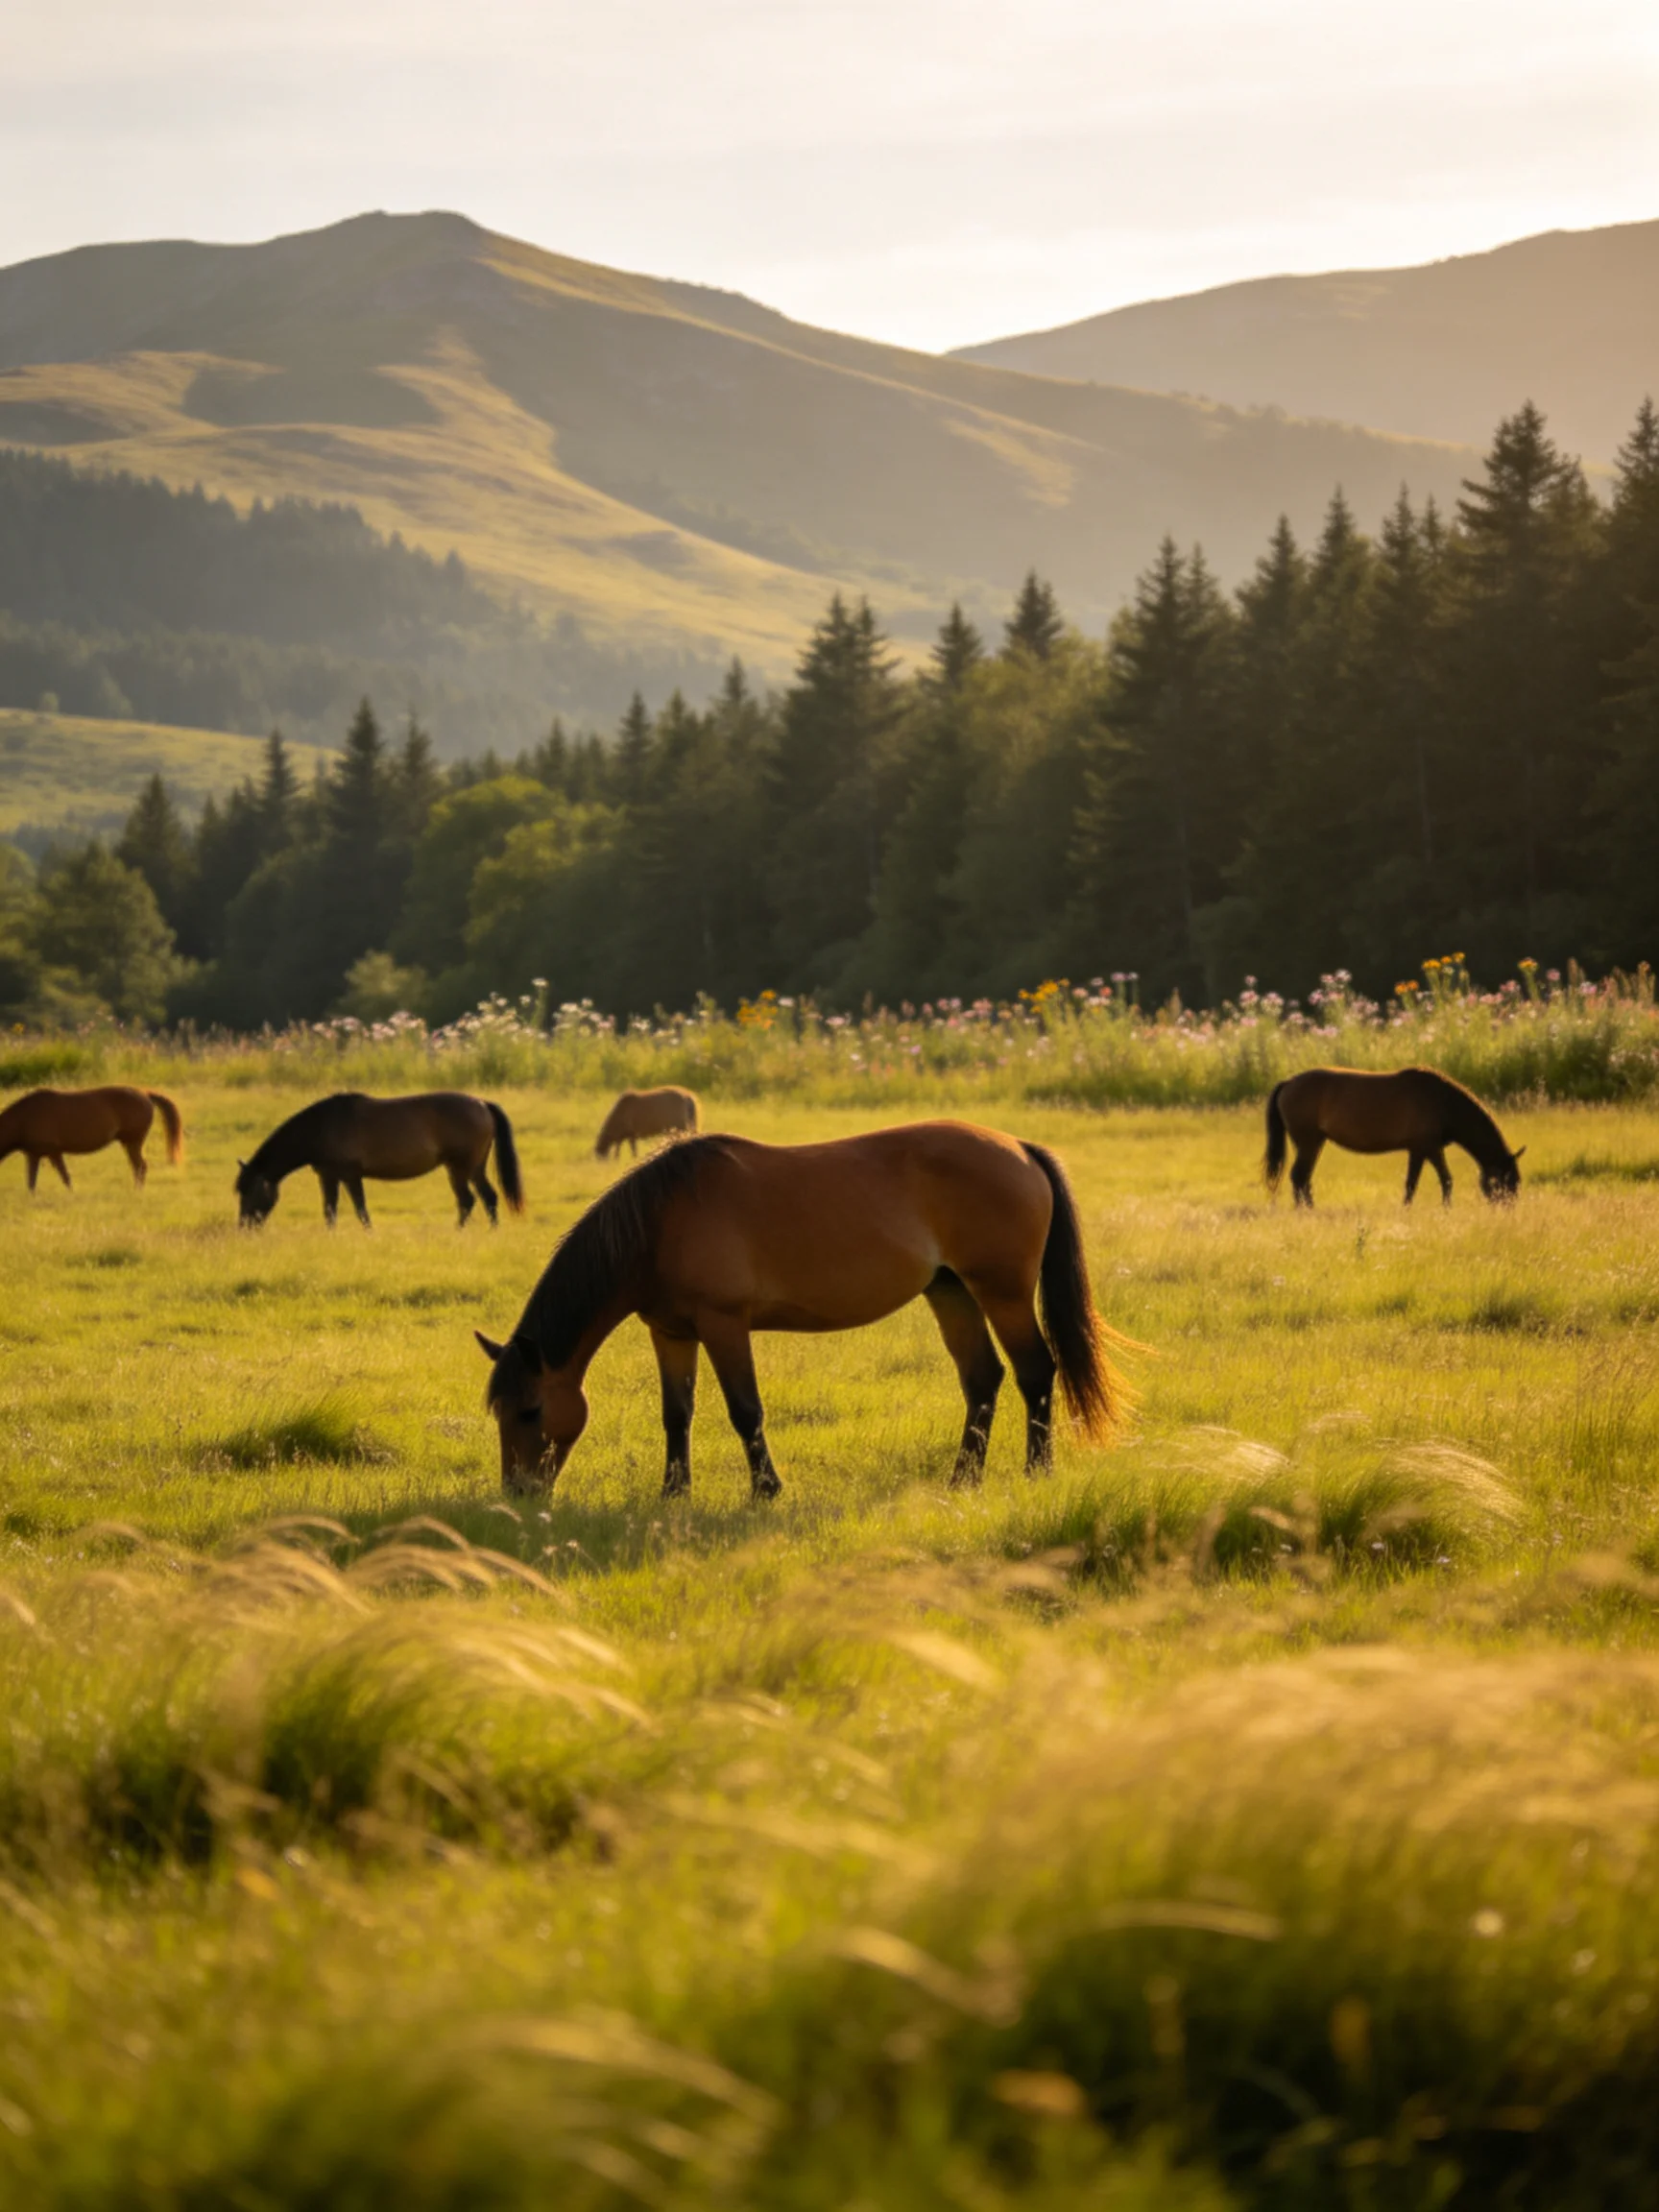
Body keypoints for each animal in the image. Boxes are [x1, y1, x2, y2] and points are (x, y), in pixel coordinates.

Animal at [0, 1085, 183, 1191]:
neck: (24, 1116)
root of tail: (145, 1094)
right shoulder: (35, 1154)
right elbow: (32, 1181)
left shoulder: (53, 1152)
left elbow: (65, 1177)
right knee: (138, 1166)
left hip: (133, 1142)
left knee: (140, 1166)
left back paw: (137, 1191)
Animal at [236, 1092, 523, 1228]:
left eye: (249, 1192)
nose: (244, 1227)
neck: (322, 1127)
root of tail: (482, 1104)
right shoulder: (328, 1176)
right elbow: (329, 1210)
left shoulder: (351, 1174)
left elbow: (361, 1209)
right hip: (475, 1167)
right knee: (489, 1197)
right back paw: (492, 1231)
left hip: (459, 1167)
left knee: (467, 1200)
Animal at [477, 1119, 1128, 1499]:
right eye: (501, 1412)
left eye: (532, 1410)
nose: (518, 1493)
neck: (658, 1223)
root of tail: (1020, 1149)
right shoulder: (671, 1333)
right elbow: (676, 1415)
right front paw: (673, 1493)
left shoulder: (724, 1325)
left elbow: (745, 1411)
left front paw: (766, 1489)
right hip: (951, 1292)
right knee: (982, 1379)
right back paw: (963, 1478)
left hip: (1002, 1292)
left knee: (1034, 1372)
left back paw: (1036, 1471)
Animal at [1264, 1066, 1524, 1208]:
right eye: (1506, 1182)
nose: (1508, 1210)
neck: (1442, 1102)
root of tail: (1288, 1083)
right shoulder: (1425, 1148)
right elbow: (1432, 1181)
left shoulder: (1424, 1150)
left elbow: (1425, 1181)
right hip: (1308, 1142)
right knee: (1299, 1176)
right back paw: (1306, 1211)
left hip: (1315, 1142)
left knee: (1303, 1178)